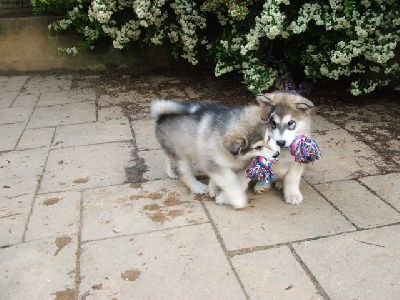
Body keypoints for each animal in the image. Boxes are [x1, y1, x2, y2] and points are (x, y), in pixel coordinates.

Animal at [152, 100, 280, 209]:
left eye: (269, 137)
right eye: (258, 147)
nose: (277, 154)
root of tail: (162, 116)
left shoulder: (241, 167)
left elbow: (239, 183)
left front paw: (219, 195)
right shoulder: (212, 164)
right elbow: (230, 181)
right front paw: (238, 200)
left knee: (168, 157)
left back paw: (171, 172)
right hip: (180, 157)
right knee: (184, 174)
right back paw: (197, 186)